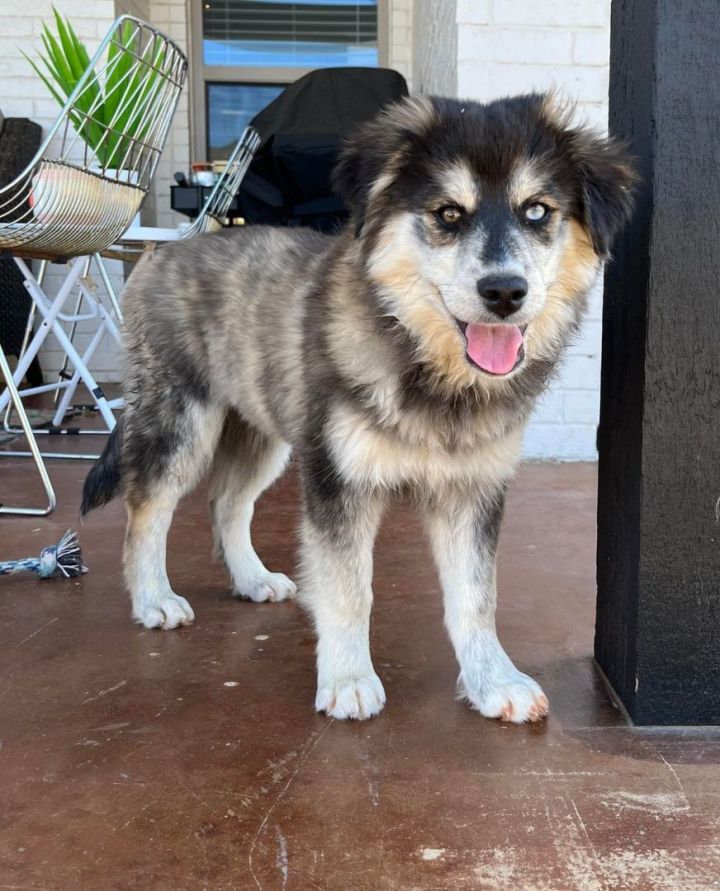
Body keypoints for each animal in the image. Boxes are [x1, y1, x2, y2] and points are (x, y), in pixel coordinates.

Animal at [84, 94, 632, 724]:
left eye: (537, 211)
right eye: (448, 214)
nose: (504, 292)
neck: (427, 368)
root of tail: (167, 248)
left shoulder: (473, 486)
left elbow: (476, 594)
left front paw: (493, 680)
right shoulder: (339, 478)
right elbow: (349, 588)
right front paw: (347, 679)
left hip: (265, 431)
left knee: (228, 502)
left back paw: (251, 579)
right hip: (180, 420)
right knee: (147, 509)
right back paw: (153, 598)